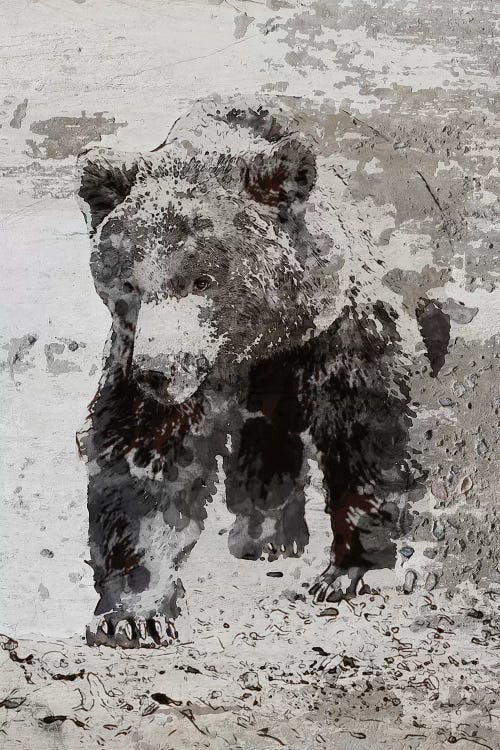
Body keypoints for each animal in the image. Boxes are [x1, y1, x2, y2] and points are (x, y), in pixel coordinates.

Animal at [76, 99, 449, 648]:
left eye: (203, 279)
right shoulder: (148, 358)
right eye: (129, 282)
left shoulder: (336, 334)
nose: (157, 371)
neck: (256, 340)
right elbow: (144, 457)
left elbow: (364, 430)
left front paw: (348, 571)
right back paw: (264, 532)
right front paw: (135, 613)